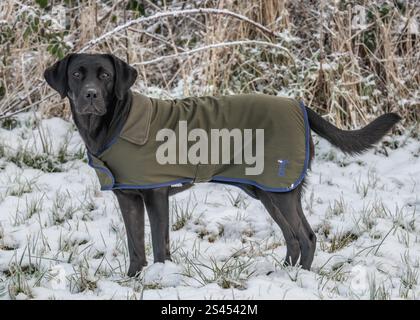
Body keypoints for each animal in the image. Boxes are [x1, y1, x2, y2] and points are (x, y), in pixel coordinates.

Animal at [44, 53, 402, 276]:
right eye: (77, 74)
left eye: (105, 76)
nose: (90, 95)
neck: (113, 124)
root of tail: (301, 106)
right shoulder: (128, 197)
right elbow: (135, 245)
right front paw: (133, 279)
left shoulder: (156, 194)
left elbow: (159, 244)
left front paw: (160, 277)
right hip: (267, 191)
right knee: (292, 236)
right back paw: (283, 273)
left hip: (280, 190)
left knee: (307, 236)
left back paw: (300, 278)